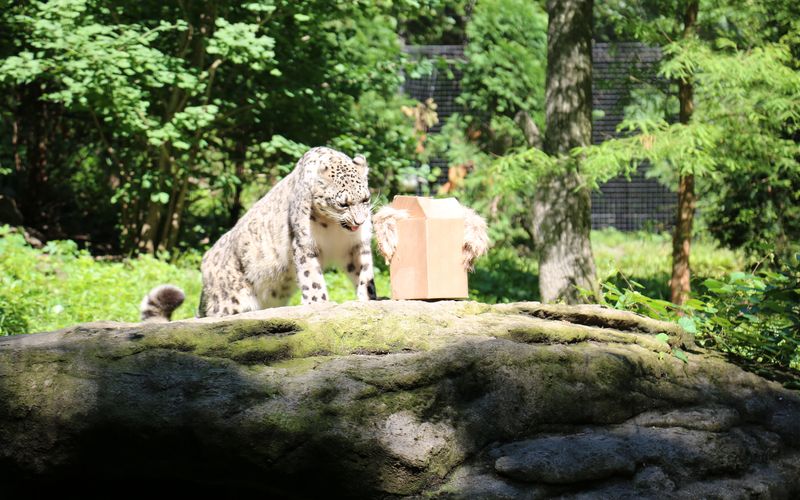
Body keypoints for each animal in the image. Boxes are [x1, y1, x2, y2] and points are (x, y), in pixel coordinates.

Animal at [141, 146, 378, 322]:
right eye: (343, 203)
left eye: (365, 198)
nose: (360, 221)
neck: (335, 229)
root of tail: (205, 268)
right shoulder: (305, 244)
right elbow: (312, 278)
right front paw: (319, 304)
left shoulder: (356, 246)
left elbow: (365, 272)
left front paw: (369, 299)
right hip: (229, 301)